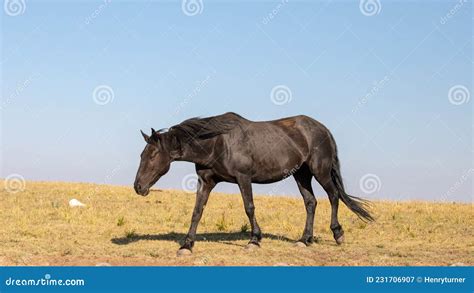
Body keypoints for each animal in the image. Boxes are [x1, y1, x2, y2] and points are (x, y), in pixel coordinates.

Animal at [134, 113, 374, 254]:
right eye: (142, 154)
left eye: (153, 155)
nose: (138, 187)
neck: (217, 143)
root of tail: (323, 129)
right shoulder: (206, 182)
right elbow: (197, 211)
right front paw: (187, 245)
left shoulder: (243, 178)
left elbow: (249, 207)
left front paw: (254, 240)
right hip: (301, 175)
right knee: (311, 202)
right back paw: (304, 239)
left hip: (320, 171)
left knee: (333, 196)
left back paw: (337, 234)